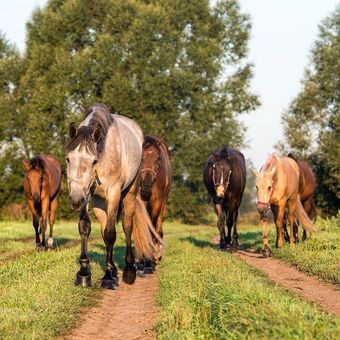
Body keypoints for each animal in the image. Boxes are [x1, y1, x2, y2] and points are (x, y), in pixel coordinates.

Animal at [66, 104, 163, 290]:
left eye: (93, 161)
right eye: (68, 159)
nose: (75, 199)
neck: (103, 153)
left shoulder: (113, 193)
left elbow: (111, 234)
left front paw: (108, 277)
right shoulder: (88, 195)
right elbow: (85, 228)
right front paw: (84, 273)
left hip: (129, 195)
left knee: (127, 226)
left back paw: (128, 270)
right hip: (98, 203)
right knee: (104, 229)